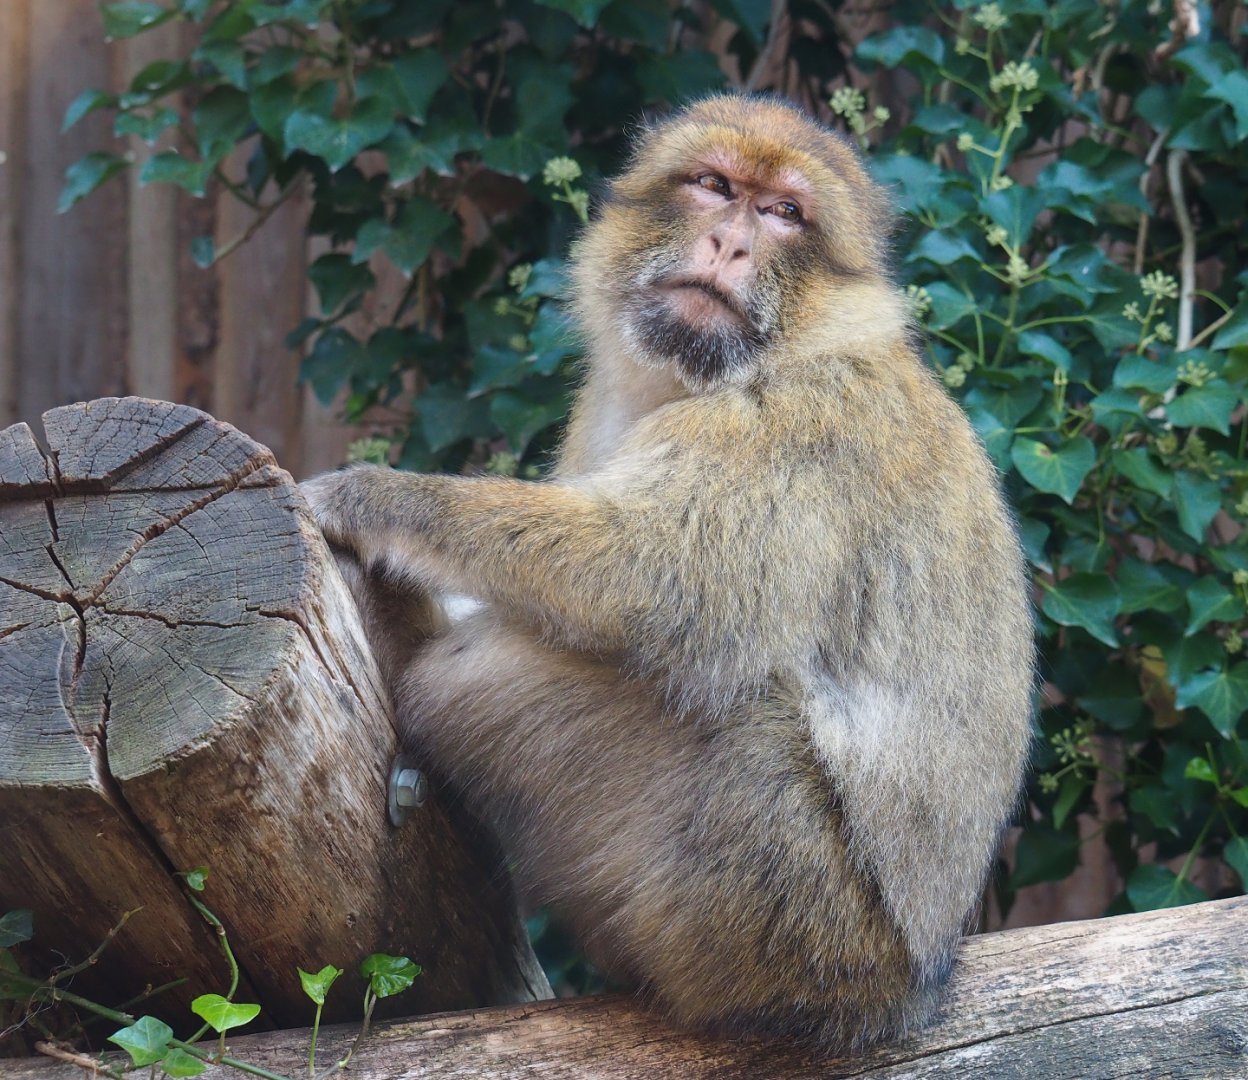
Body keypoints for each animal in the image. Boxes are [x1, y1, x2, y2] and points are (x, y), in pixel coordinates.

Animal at [301, 93, 1034, 1049]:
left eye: (784, 212)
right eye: (715, 187)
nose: (730, 243)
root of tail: (912, 987)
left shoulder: (798, 425)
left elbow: (662, 579)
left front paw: (375, 499)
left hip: (786, 910)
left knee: (534, 678)